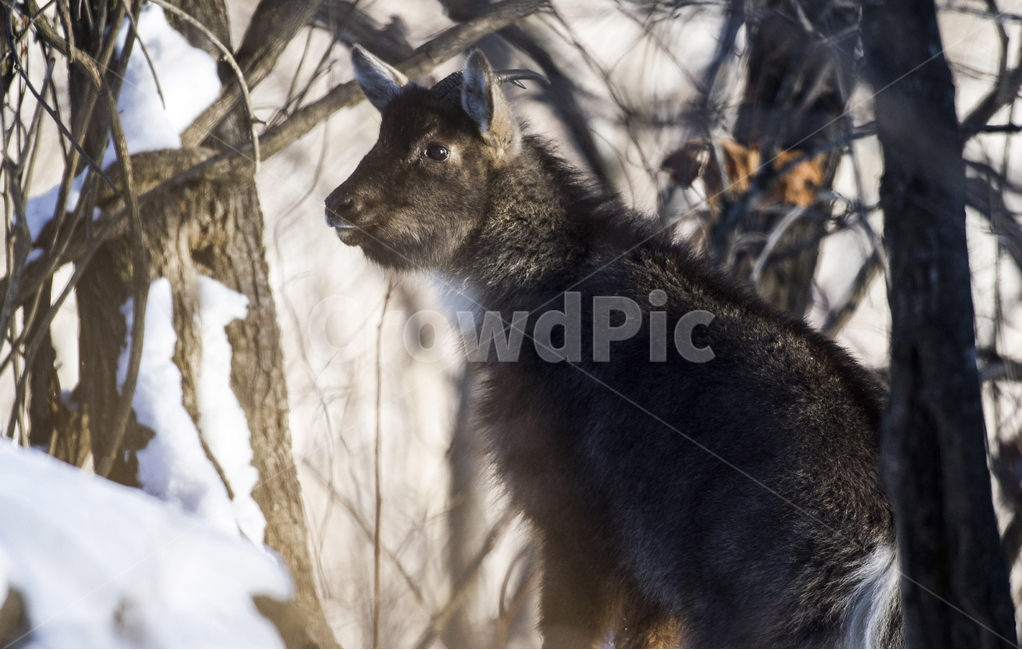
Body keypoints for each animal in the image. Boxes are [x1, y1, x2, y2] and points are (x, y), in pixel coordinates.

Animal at [326, 46, 902, 648]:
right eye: (382, 133)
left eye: (436, 148)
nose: (337, 205)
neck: (535, 291)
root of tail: (882, 551)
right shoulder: (651, 585)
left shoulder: (574, 523)